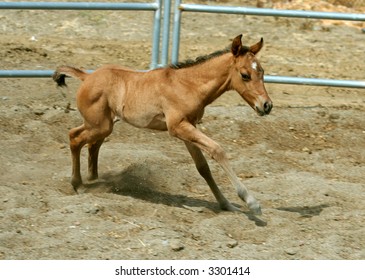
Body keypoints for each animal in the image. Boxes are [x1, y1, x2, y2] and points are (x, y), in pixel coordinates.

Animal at [53, 34, 270, 214]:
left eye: (262, 71)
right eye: (245, 75)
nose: (266, 105)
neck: (188, 85)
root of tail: (88, 76)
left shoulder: (189, 127)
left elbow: (202, 167)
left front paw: (226, 205)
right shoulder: (177, 127)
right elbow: (217, 150)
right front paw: (251, 202)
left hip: (102, 125)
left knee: (90, 143)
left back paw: (93, 179)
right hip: (99, 125)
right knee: (75, 137)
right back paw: (78, 184)